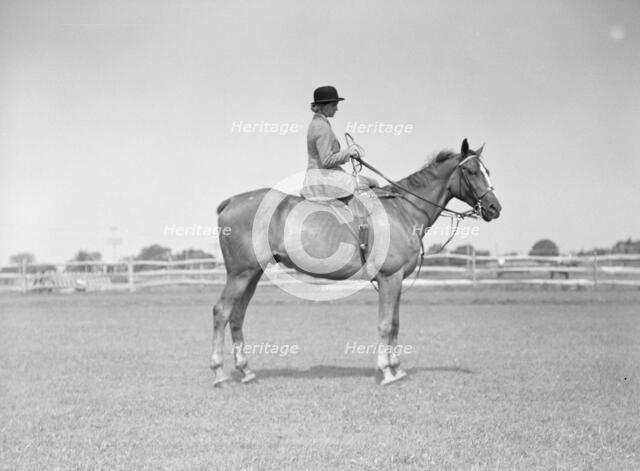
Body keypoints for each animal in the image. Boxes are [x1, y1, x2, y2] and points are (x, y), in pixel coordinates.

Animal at [211, 138, 502, 386]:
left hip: (253, 274)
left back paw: (246, 371)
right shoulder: (389, 279)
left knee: (237, 316)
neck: (403, 210)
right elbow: (386, 325)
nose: (494, 208)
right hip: (240, 274)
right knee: (222, 312)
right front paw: (386, 372)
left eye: (487, 170)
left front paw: (397, 367)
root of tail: (231, 201)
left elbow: (395, 323)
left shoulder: (396, 282)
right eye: (472, 171)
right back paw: (219, 373)